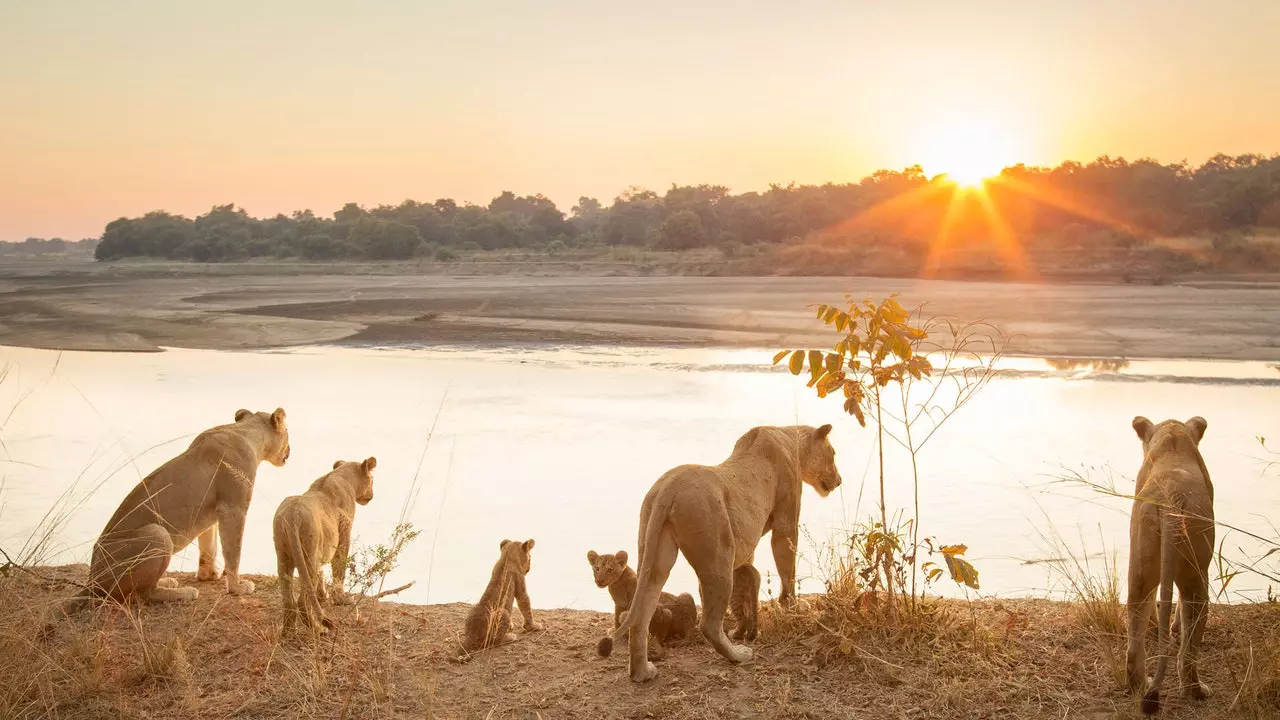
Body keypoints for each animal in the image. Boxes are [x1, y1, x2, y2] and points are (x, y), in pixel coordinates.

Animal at [63, 407, 290, 607]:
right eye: (288, 431)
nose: (290, 451)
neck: (247, 433)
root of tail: (92, 580)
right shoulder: (233, 508)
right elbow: (233, 552)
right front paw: (237, 587)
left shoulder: (211, 513)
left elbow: (209, 546)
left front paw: (208, 575)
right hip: (158, 534)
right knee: (145, 594)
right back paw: (184, 592)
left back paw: (167, 581)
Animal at [270, 456, 371, 630]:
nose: (371, 495)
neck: (340, 475)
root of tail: (293, 515)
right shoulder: (344, 531)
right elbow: (339, 566)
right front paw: (340, 598)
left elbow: (322, 572)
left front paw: (323, 596)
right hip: (308, 556)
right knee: (302, 600)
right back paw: (318, 629)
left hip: (283, 556)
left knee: (288, 600)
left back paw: (288, 631)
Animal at [596, 422, 839, 681]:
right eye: (833, 453)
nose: (839, 481)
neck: (790, 437)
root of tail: (667, 488)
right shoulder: (786, 521)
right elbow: (787, 566)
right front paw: (793, 606)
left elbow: (750, 579)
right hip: (718, 555)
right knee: (709, 624)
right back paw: (739, 655)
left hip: (655, 554)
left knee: (641, 617)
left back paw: (642, 672)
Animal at [1126, 415, 1213, 712]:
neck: (1173, 440)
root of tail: (1170, 498)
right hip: (1197, 576)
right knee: (1189, 646)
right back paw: (1196, 690)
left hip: (1140, 569)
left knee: (1134, 634)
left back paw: (1140, 687)